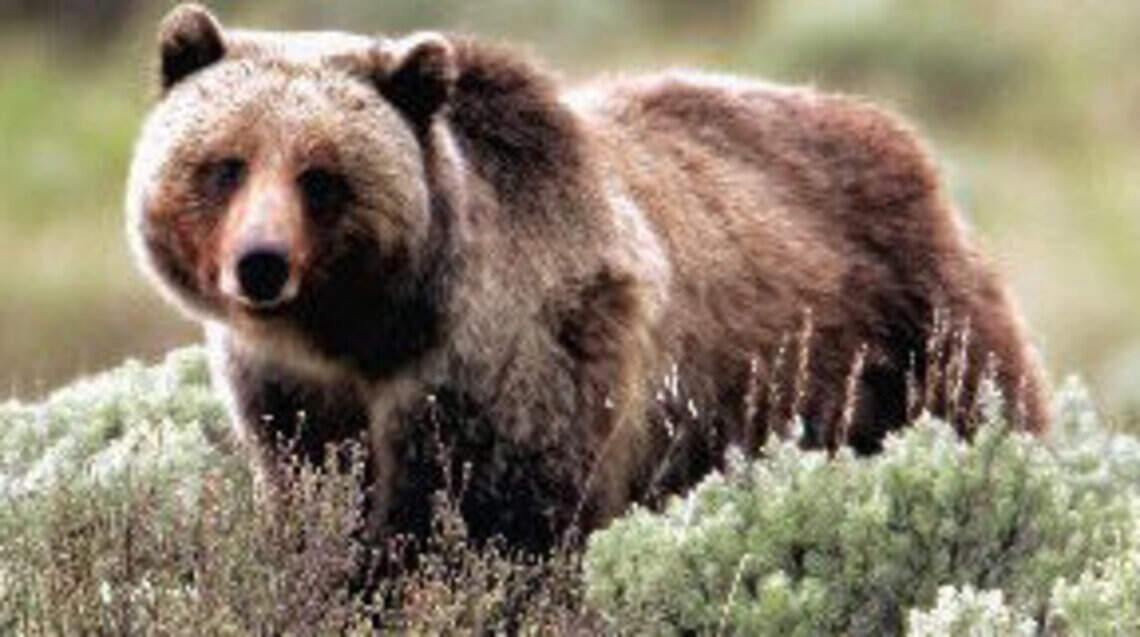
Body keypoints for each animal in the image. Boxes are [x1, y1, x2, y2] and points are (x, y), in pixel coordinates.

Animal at [126, 4, 1049, 554]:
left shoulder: (515, 357)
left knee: (977, 408)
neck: (370, 330)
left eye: (322, 176)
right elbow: (320, 495)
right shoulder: (292, 392)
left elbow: (492, 520)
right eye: (226, 164)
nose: (261, 264)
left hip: (908, 336)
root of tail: (908, 141)